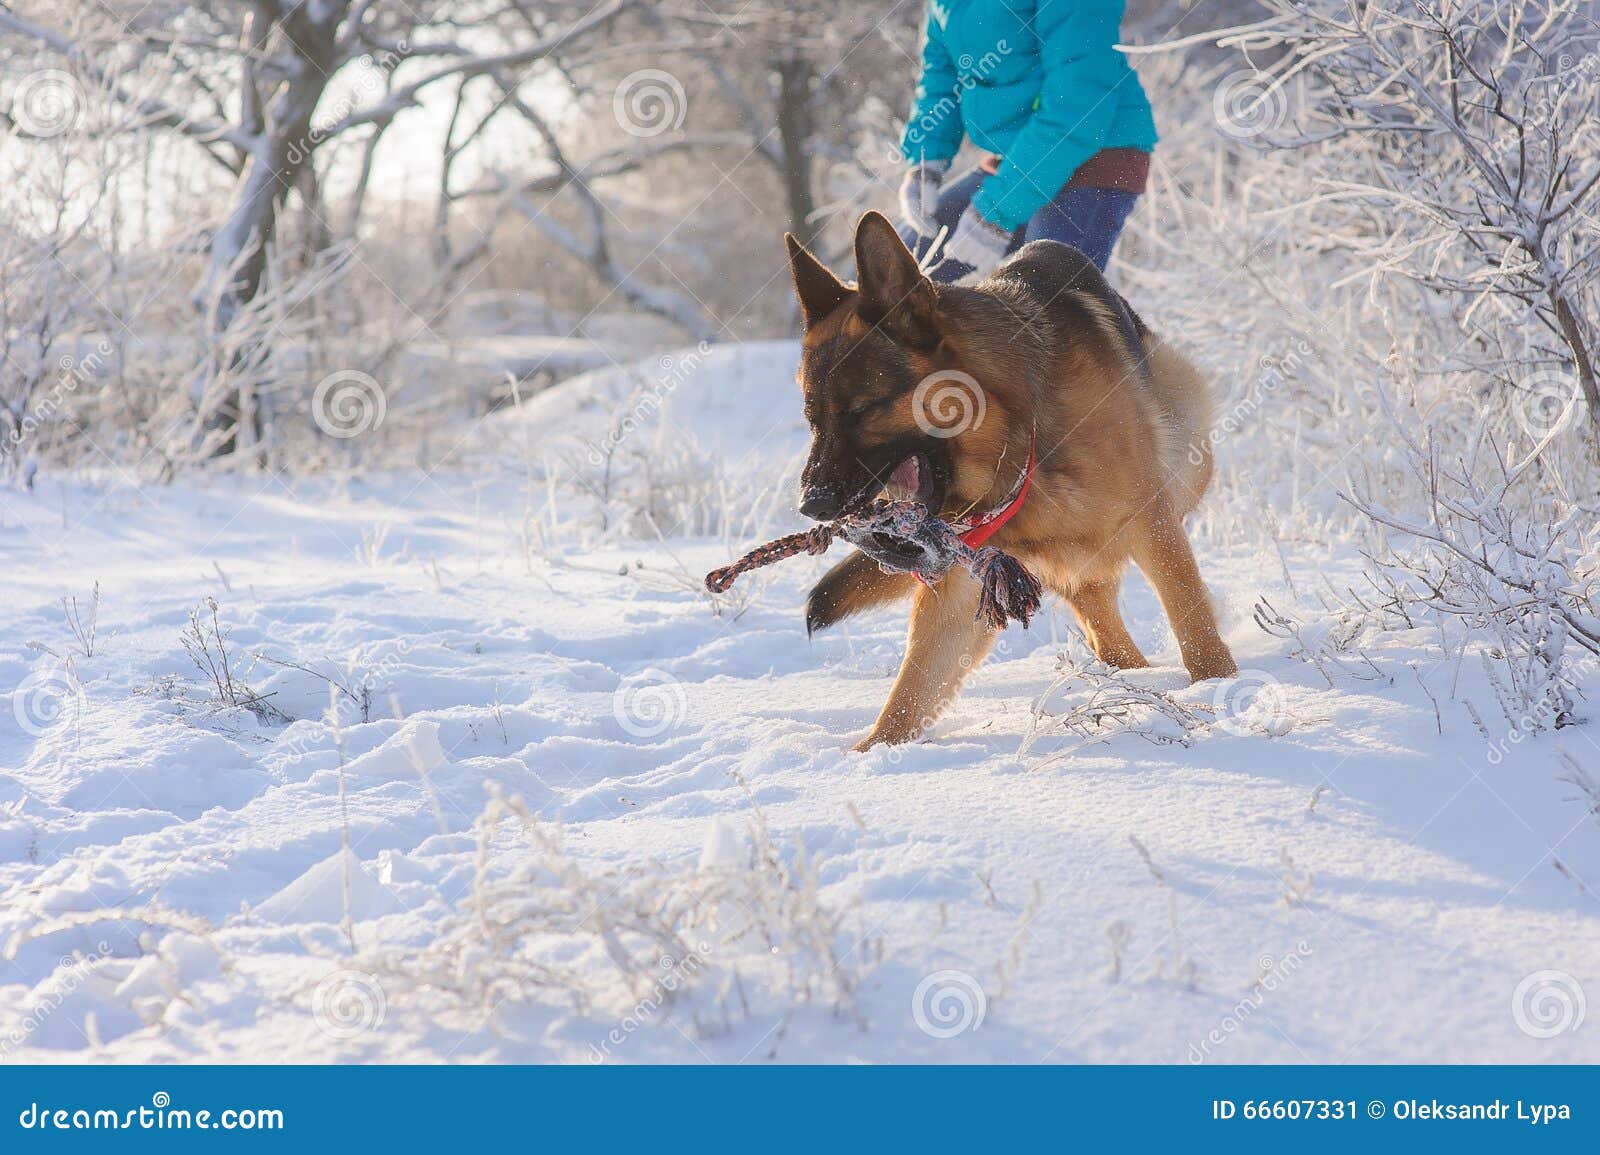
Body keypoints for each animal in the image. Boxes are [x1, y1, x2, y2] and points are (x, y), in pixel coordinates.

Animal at [790, 211, 1235, 751]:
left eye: (859, 411)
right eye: (812, 418)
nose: (810, 505)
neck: (1018, 436)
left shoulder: (1152, 524)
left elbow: (1194, 623)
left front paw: (1219, 687)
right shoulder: (960, 584)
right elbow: (910, 690)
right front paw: (868, 755)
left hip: (1185, 453)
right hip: (1071, 560)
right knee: (1103, 624)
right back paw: (1130, 682)